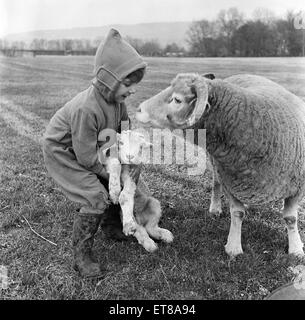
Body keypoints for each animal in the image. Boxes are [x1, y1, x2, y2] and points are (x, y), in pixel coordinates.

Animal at [135, 72, 304, 258]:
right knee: (216, 183)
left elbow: (291, 218)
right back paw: (215, 208)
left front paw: (296, 249)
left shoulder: (297, 187)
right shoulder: (231, 182)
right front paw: (234, 247)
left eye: (177, 99)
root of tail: (242, 74)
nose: (139, 109)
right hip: (216, 165)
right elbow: (237, 213)